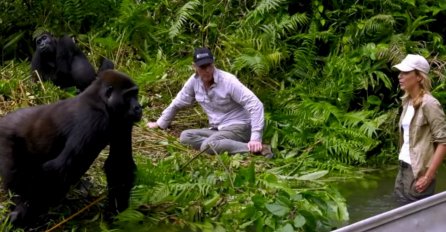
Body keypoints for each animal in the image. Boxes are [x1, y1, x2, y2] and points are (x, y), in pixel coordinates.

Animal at [0, 70, 143, 226]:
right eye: (128, 96)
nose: (138, 107)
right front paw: (25, 210)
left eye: (135, 94)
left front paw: (117, 214)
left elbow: (119, 165)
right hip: (5, 139)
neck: (101, 101)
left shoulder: (123, 122)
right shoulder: (93, 119)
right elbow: (60, 168)